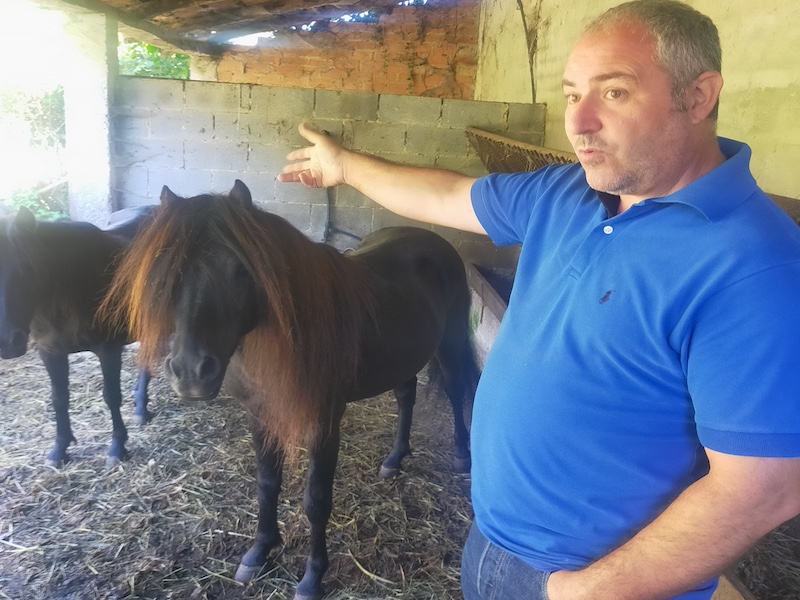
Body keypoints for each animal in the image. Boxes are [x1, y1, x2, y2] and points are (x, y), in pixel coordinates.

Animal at [0, 207, 155, 468]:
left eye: (27, 267)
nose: (8, 343)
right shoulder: (50, 351)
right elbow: (59, 398)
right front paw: (59, 449)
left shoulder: (108, 349)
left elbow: (111, 397)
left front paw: (117, 447)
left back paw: (142, 408)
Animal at [99, 182, 476, 600]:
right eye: (165, 271)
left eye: (240, 269)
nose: (191, 373)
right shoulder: (260, 415)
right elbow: (267, 484)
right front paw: (259, 551)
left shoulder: (324, 424)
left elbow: (316, 501)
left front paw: (312, 578)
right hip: (403, 356)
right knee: (406, 396)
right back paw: (395, 459)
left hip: (450, 345)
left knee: (456, 392)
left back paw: (462, 455)